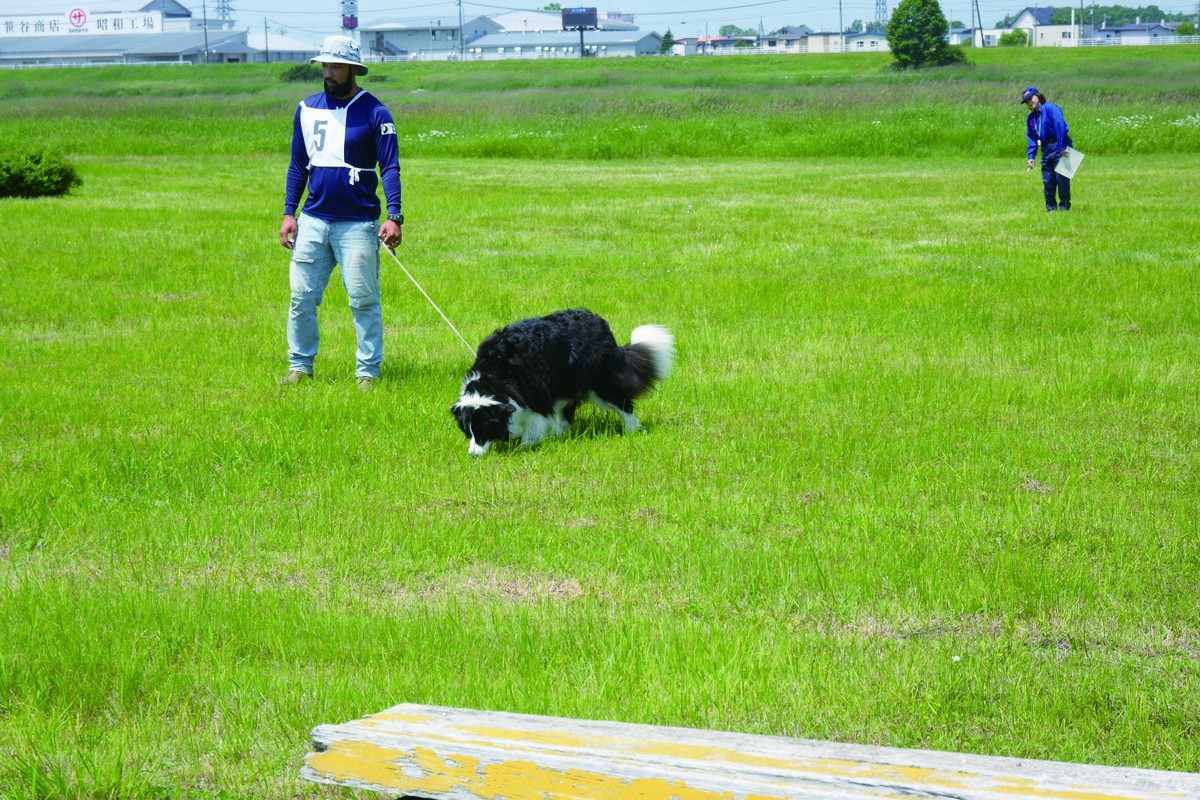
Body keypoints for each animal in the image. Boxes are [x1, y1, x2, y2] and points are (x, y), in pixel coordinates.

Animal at [452, 309, 675, 456]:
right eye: (467, 431)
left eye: (483, 429)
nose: (472, 455)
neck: (494, 378)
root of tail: (601, 323)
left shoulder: (537, 397)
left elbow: (534, 426)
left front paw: (523, 448)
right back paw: (561, 433)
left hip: (599, 382)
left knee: (622, 403)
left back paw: (632, 429)